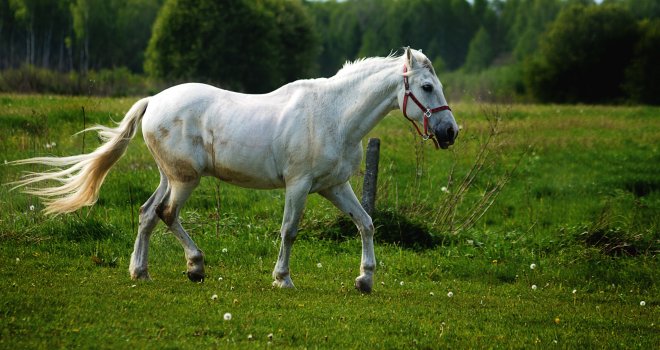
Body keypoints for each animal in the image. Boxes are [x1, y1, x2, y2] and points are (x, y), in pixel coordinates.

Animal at [14, 47, 458, 292]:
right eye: (426, 87)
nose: (450, 132)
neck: (334, 114)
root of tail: (153, 101)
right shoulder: (298, 186)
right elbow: (289, 231)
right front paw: (282, 279)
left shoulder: (335, 186)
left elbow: (365, 223)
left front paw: (365, 280)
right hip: (185, 179)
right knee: (166, 214)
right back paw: (195, 266)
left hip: (170, 176)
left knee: (147, 214)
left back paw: (140, 271)